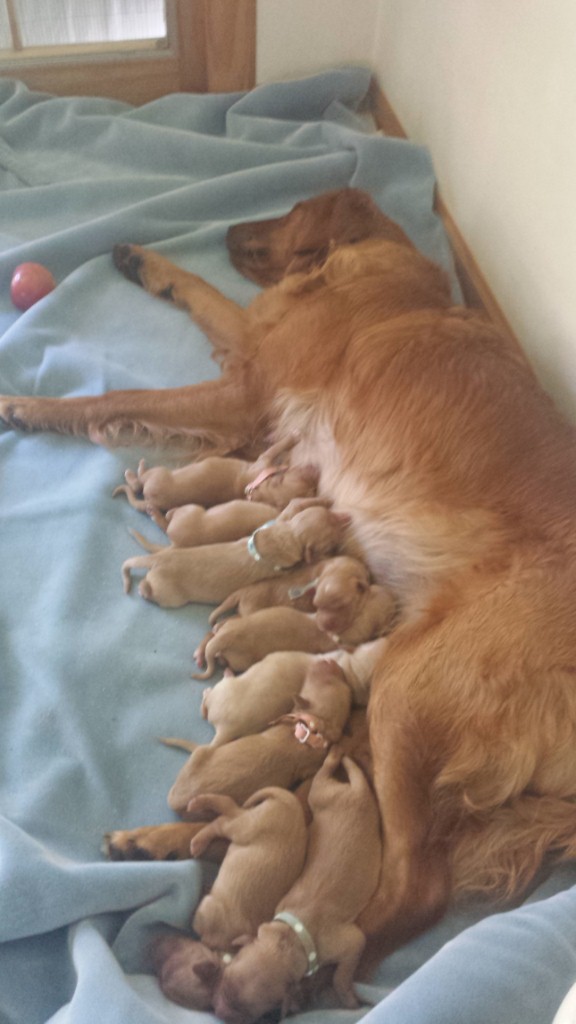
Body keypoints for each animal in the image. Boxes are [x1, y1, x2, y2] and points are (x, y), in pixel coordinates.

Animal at [1, 188, 573, 962]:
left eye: (294, 208)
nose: (232, 227)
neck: (377, 267)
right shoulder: (256, 349)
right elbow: (206, 292)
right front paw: (143, 260)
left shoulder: (249, 385)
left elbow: (112, 398)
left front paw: (27, 405)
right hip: (376, 716)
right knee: (294, 800)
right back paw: (162, 845)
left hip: (409, 690)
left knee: (412, 890)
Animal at [211, 749, 381, 1019]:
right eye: (224, 981)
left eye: (249, 1013)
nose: (216, 1011)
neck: (291, 937)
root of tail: (353, 793)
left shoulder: (354, 943)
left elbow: (341, 975)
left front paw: (347, 997)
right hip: (326, 793)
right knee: (341, 774)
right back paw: (341, 758)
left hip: (321, 792)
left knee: (327, 774)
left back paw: (335, 756)